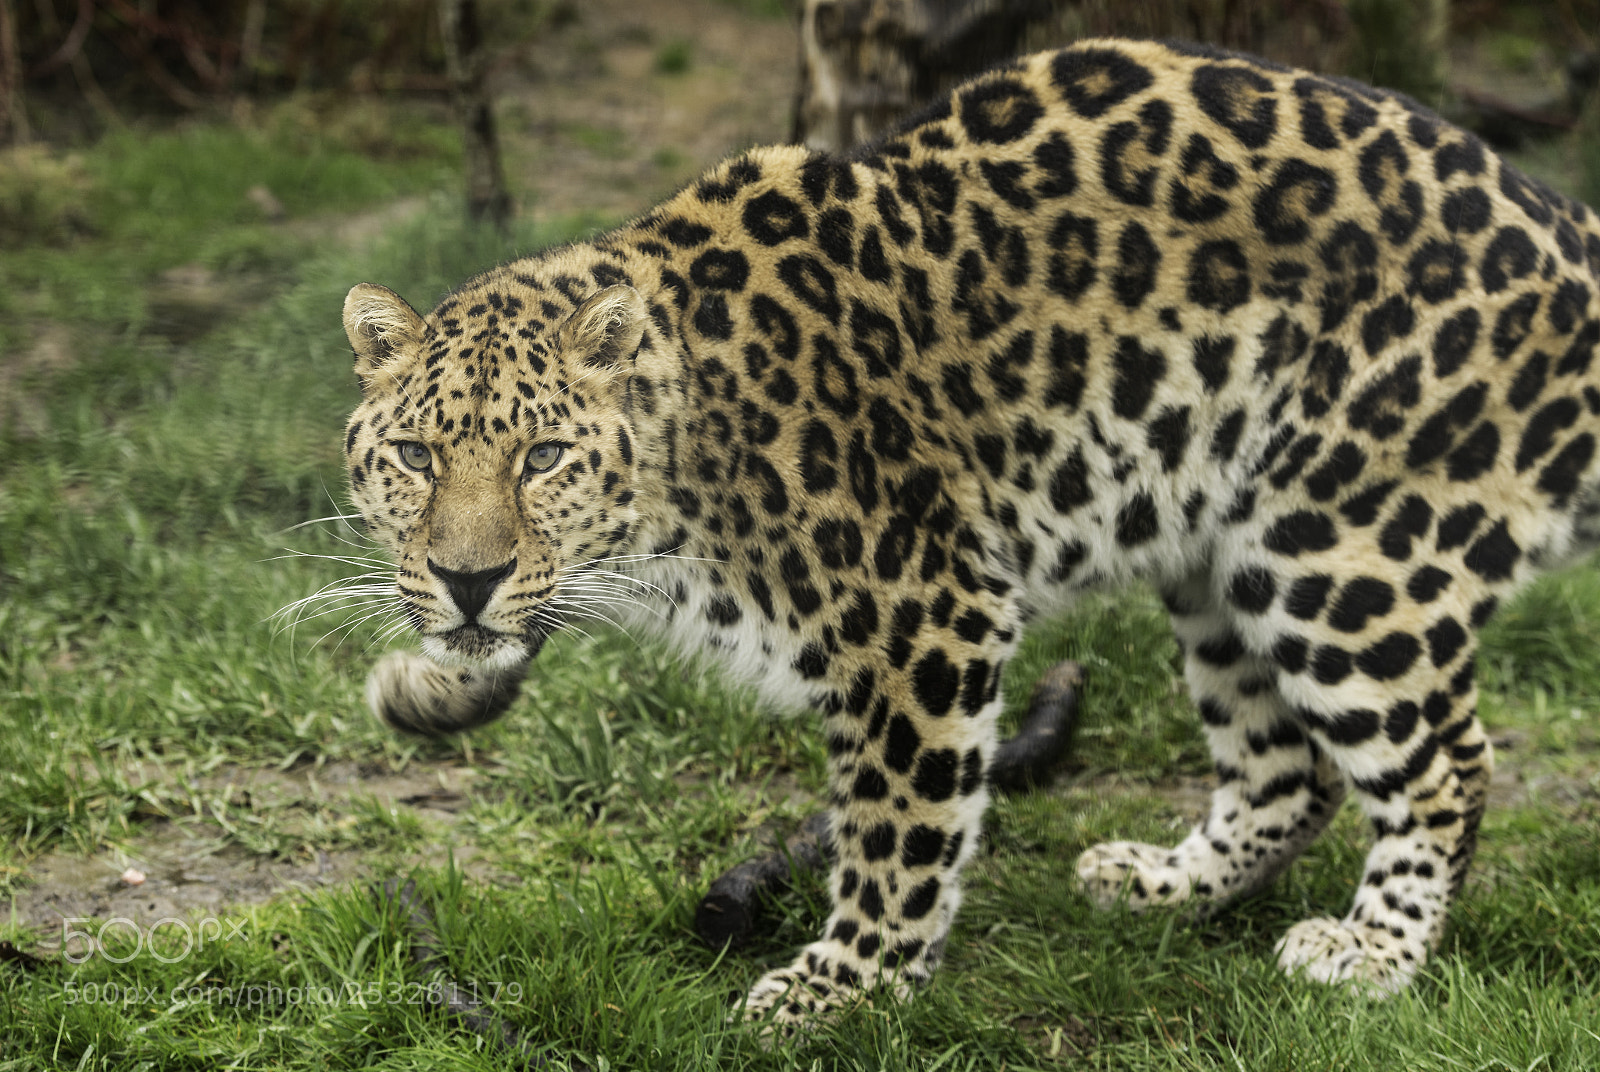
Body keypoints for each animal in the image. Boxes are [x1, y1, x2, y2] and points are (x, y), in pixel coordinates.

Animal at [335, 37, 1600, 1026]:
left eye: (542, 458)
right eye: (416, 460)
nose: (465, 578)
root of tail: (1562, 223)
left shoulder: (921, 615)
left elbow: (899, 825)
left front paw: (842, 989)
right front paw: (429, 681)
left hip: (1342, 549)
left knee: (1446, 762)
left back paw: (1373, 952)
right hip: (1221, 556)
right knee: (1289, 767)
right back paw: (1161, 882)